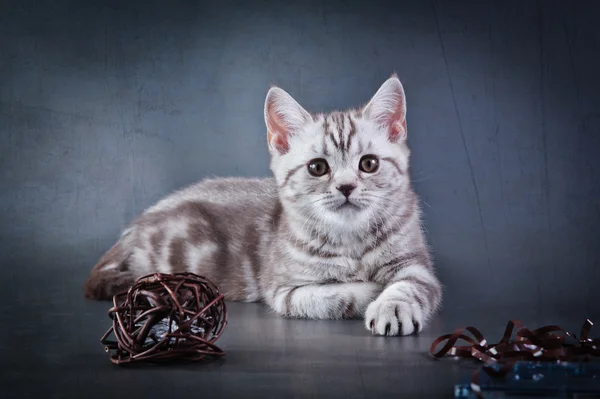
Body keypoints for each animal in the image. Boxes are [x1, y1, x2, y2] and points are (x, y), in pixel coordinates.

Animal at [83, 76, 440, 338]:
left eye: (369, 164)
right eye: (318, 168)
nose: (347, 186)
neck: (350, 239)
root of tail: (133, 227)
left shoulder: (417, 265)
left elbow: (409, 286)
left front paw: (392, 306)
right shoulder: (284, 290)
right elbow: (338, 295)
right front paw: (371, 292)